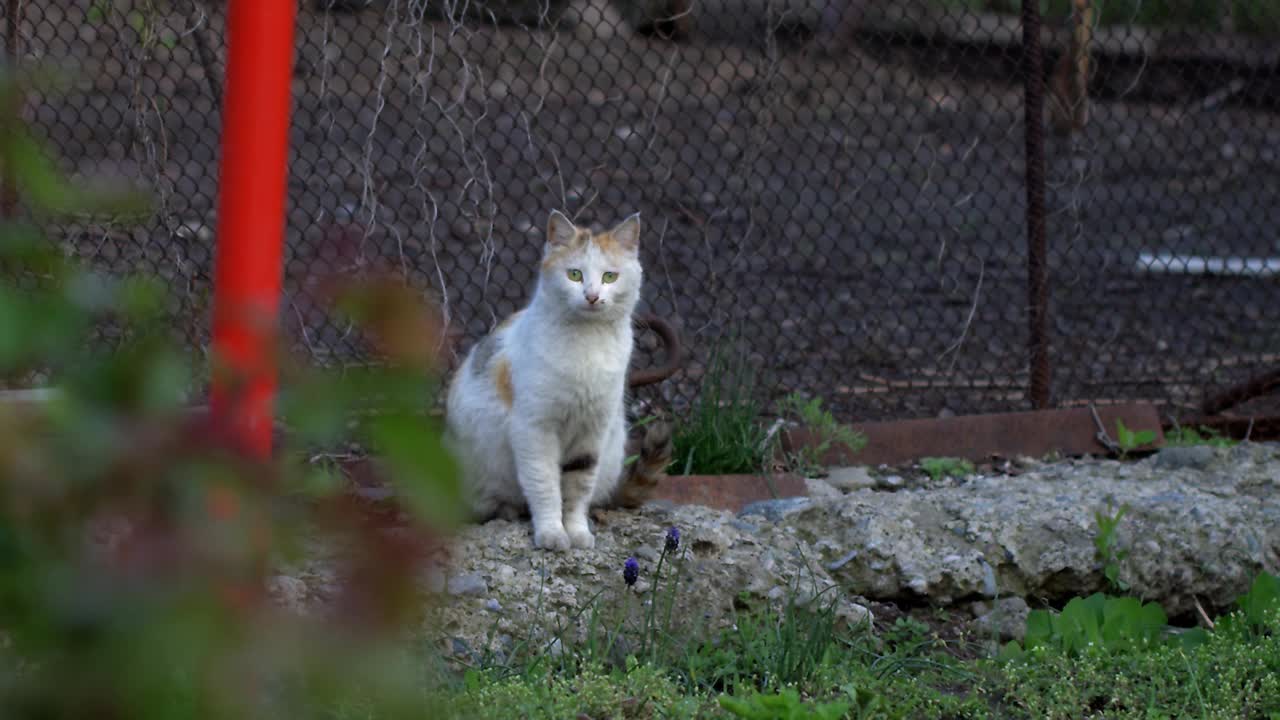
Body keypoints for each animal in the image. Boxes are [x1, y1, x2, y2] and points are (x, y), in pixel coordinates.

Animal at [445, 207, 675, 548]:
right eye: (575, 274)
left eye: (610, 276)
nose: (592, 296)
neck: (587, 345)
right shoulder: (535, 429)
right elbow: (545, 485)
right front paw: (552, 533)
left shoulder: (592, 432)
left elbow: (578, 488)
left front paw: (577, 532)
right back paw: (506, 510)